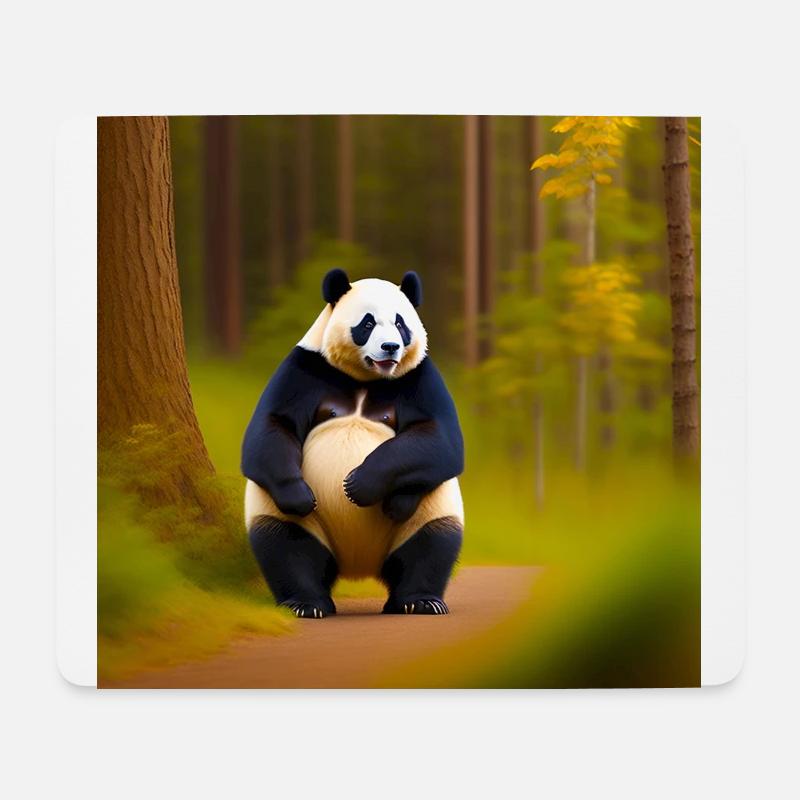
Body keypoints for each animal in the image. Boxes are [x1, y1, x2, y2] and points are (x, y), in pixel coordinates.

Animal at [242, 268, 464, 618]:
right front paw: (302, 496)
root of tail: (357, 566)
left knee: (431, 544)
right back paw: (306, 604)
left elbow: (441, 441)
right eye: (367, 323)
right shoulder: (303, 369)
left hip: (431, 512)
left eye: (401, 323)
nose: (390, 347)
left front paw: (358, 486)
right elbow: (272, 426)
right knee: (286, 545)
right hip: (286, 516)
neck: (366, 377)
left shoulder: (421, 377)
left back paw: (418, 601)